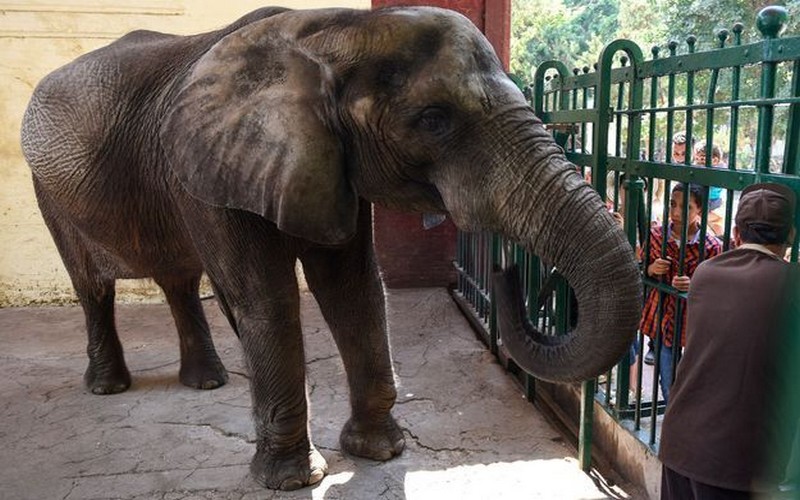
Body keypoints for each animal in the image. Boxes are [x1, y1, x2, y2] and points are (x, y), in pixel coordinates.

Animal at [20, 6, 642, 491]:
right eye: (433, 120)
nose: (504, 266)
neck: (330, 30)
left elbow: (355, 287)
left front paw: (380, 452)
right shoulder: (210, 168)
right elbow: (267, 300)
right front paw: (294, 480)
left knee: (178, 279)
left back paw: (208, 382)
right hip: (48, 189)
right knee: (92, 287)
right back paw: (109, 387)